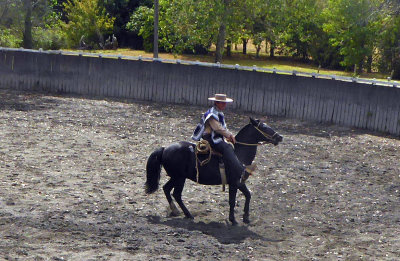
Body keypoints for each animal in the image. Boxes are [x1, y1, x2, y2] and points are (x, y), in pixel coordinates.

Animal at [144, 117, 282, 223]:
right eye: (264, 127)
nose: (280, 137)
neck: (239, 155)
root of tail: (164, 148)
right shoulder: (234, 183)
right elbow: (232, 201)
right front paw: (233, 220)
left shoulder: (239, 182)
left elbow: (248, 195)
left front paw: (246, 217)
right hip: (179, 178)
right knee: (176, 194)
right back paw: (188, 214)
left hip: (176, 177)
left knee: (166, 189)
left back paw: (176, 211)